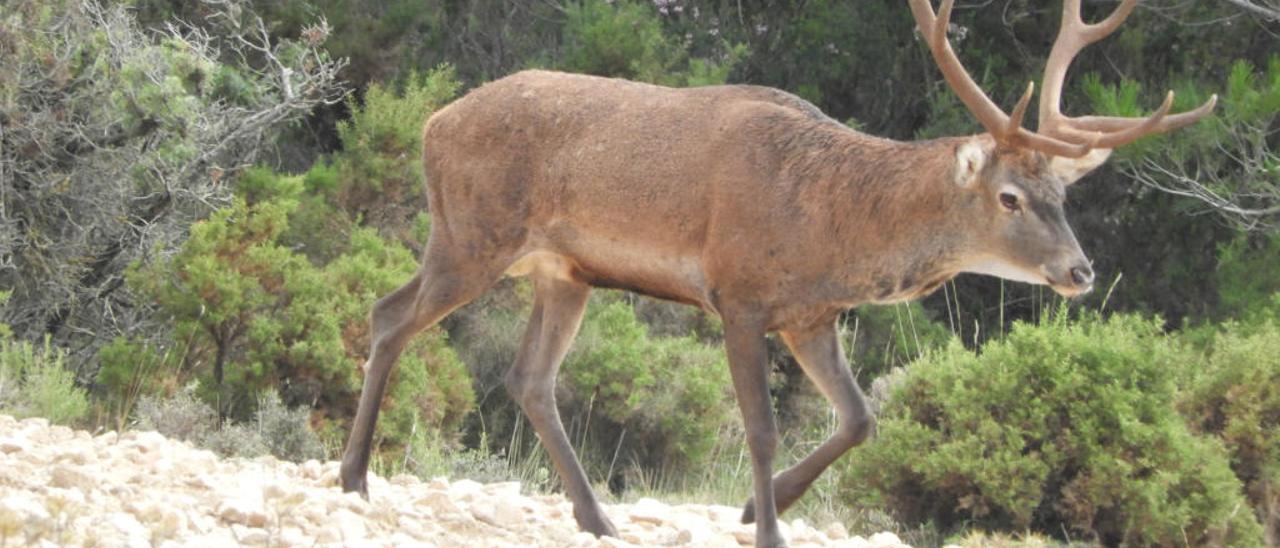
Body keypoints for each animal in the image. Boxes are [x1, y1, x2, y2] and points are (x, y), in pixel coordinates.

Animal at [337, 2, 1208, 545]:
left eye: (1064, 194)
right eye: (1010, 197)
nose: (1080, 271)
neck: (830, 223)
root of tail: (432, 121)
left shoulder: (811, 315)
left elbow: (860, 419)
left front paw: (756, 509)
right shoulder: (741, 293)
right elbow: (760, 427)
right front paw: (767, 526)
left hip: (563, 272)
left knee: (528, 378)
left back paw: (597, 518)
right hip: (470, 233)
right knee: (390, 316)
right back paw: (353, 479)